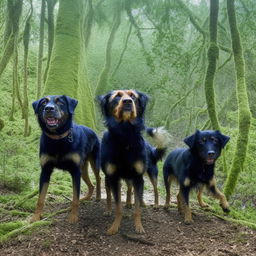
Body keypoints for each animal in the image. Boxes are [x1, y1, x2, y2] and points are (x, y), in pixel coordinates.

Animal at [31, 95, 101, 224]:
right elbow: (41, 198)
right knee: (91, 185)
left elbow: (75, 197)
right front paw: (36, 217)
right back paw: (85, 198)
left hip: (94, 162)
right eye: (43, 103)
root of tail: (92, 130)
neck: (58, 138)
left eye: (60, 102)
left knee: (98, 178)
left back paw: (98, 197)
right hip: (83, 170)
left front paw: (73, 217)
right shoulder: (45, 171)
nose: (49, 108)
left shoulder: (75, 171)